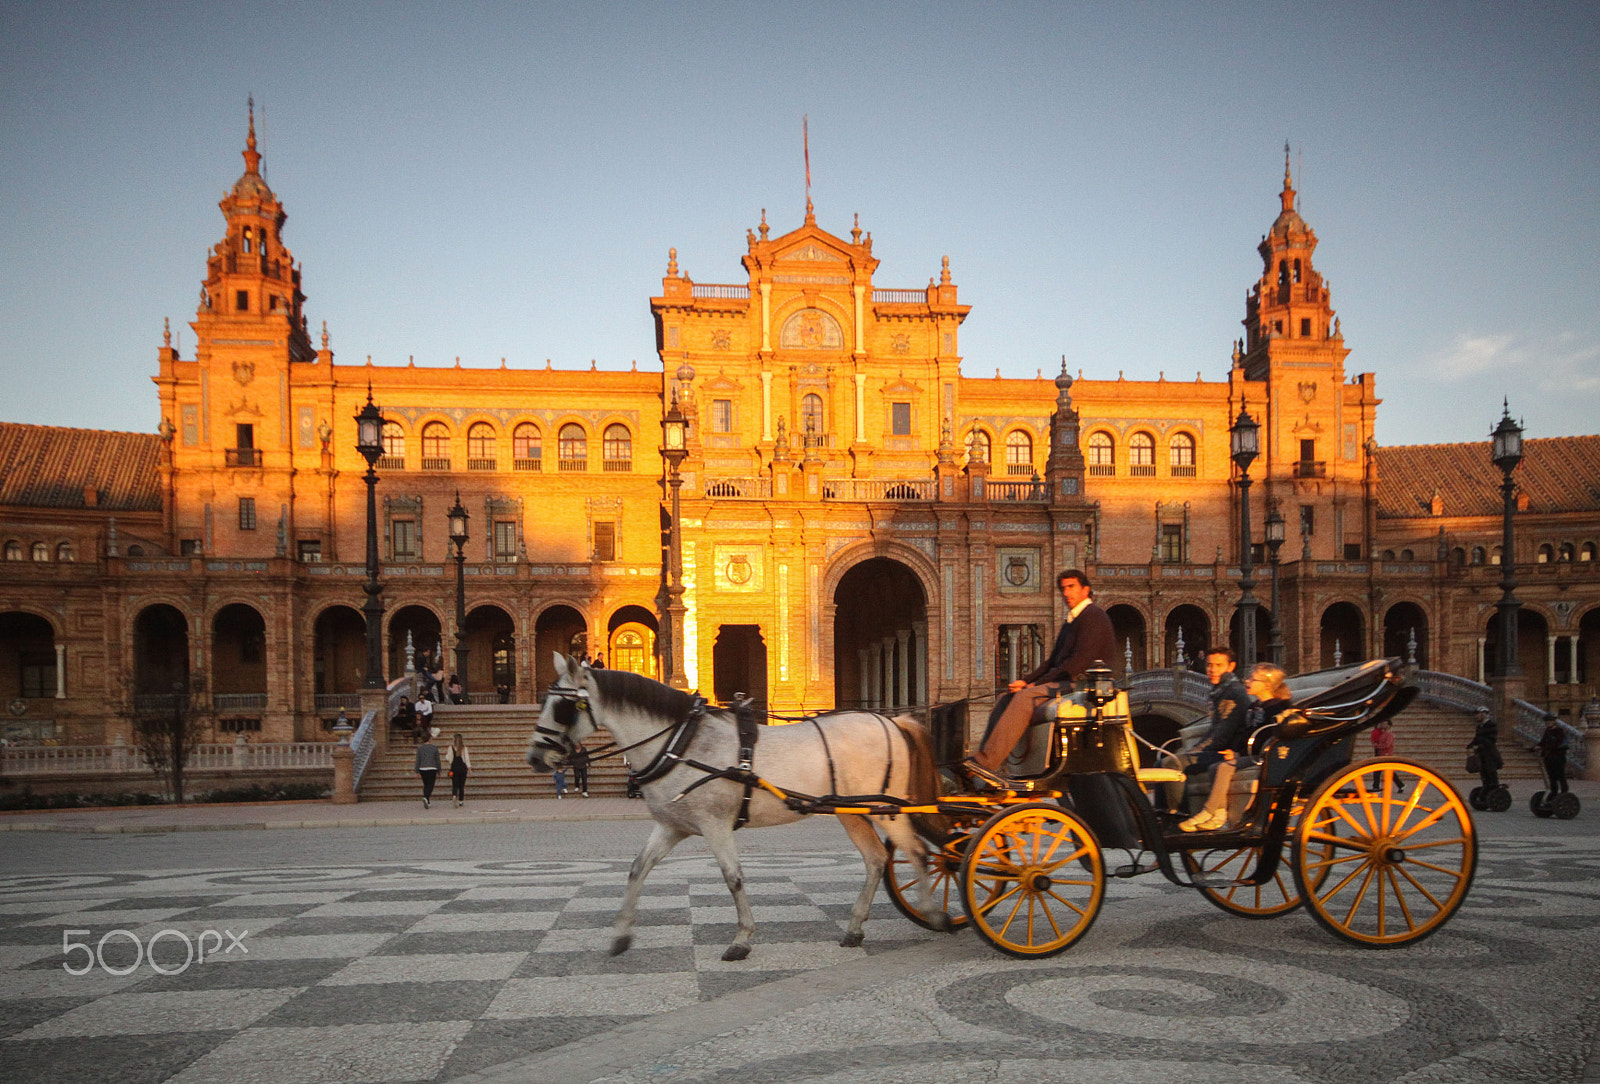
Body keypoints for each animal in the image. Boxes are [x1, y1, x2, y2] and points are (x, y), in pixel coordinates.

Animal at [524, 658, 947, 965]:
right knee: (876, 860)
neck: (682, 743)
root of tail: (890, 720)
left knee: (918, 853)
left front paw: (742, 939)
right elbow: (637, 869)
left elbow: (734, 878)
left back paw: (934, 914)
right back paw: (856, 928)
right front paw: (622, 933)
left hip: (885, 809)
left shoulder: (715, 826)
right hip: (852, 811)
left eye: (563, 707)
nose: (534, 758)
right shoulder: (672, 826)